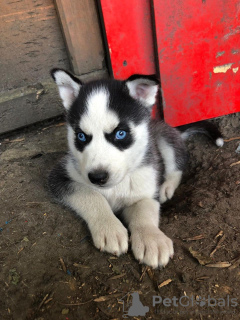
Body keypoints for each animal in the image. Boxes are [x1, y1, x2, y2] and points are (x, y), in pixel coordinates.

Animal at [48, 69, 223, 268]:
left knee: (177, 166)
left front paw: (151, 238)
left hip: (164, 139)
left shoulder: (146, 187)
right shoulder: (60, 175)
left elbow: (144, 208)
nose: (98, 177)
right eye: (81, 136)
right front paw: (109, 227)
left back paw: (167, 187)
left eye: (120, 133)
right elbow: (91, 195)